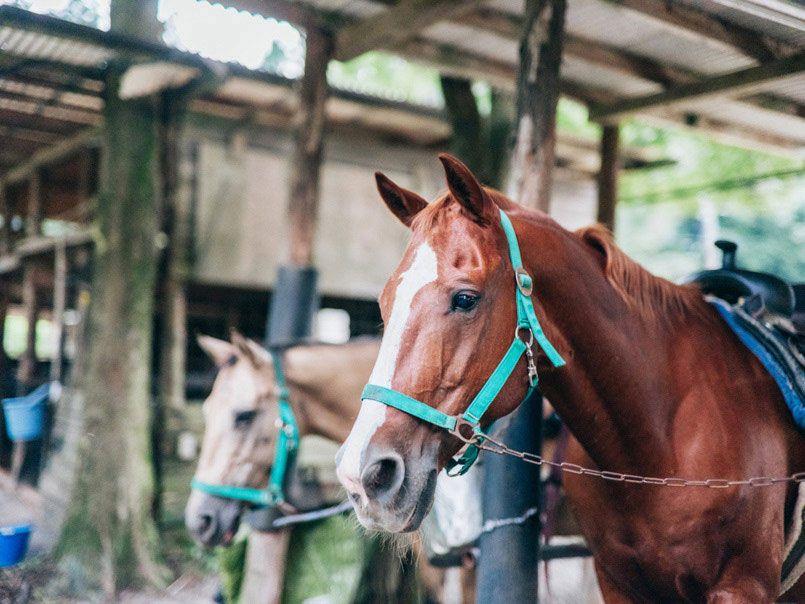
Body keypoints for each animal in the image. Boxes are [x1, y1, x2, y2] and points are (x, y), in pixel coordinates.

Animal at [335, 153, 804, 602]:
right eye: (384, 303)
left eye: (465, 298)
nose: (363, 474)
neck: (658, 441)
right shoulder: (619, 585)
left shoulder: (741, 585)